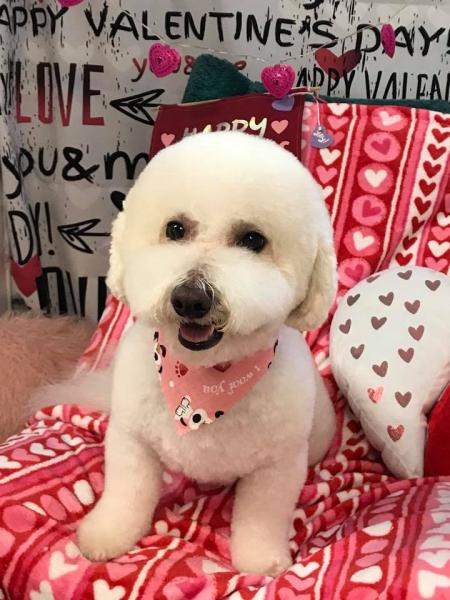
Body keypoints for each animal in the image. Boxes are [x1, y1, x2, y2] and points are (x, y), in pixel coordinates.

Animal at [36, 132, 338, 576]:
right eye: (175, 229)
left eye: (253, 240)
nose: (191, 298)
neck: (201, 382)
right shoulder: (131, 440)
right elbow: (126, 493)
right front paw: (107, 534)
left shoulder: (278, 468)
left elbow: (263, 517)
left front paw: (261, 561)